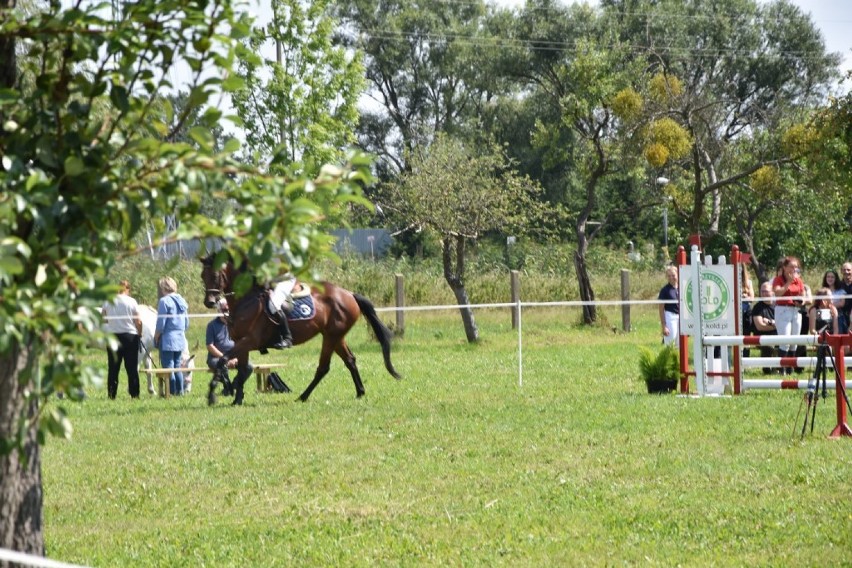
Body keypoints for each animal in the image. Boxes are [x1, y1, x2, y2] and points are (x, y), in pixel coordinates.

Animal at [201, 255, 402, 406]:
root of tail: (349, 294)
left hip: (331, 337)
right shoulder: (240, 341)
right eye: (203, 276)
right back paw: (360, 392)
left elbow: (223, 360)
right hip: (335, 336)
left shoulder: (250, 340)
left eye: (216, 275)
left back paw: (303, 396)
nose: (209, 302)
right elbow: (241, 369)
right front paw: (236, 399)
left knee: (323, 367)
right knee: (350, 361)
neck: (245, 301)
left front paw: (212, 394)